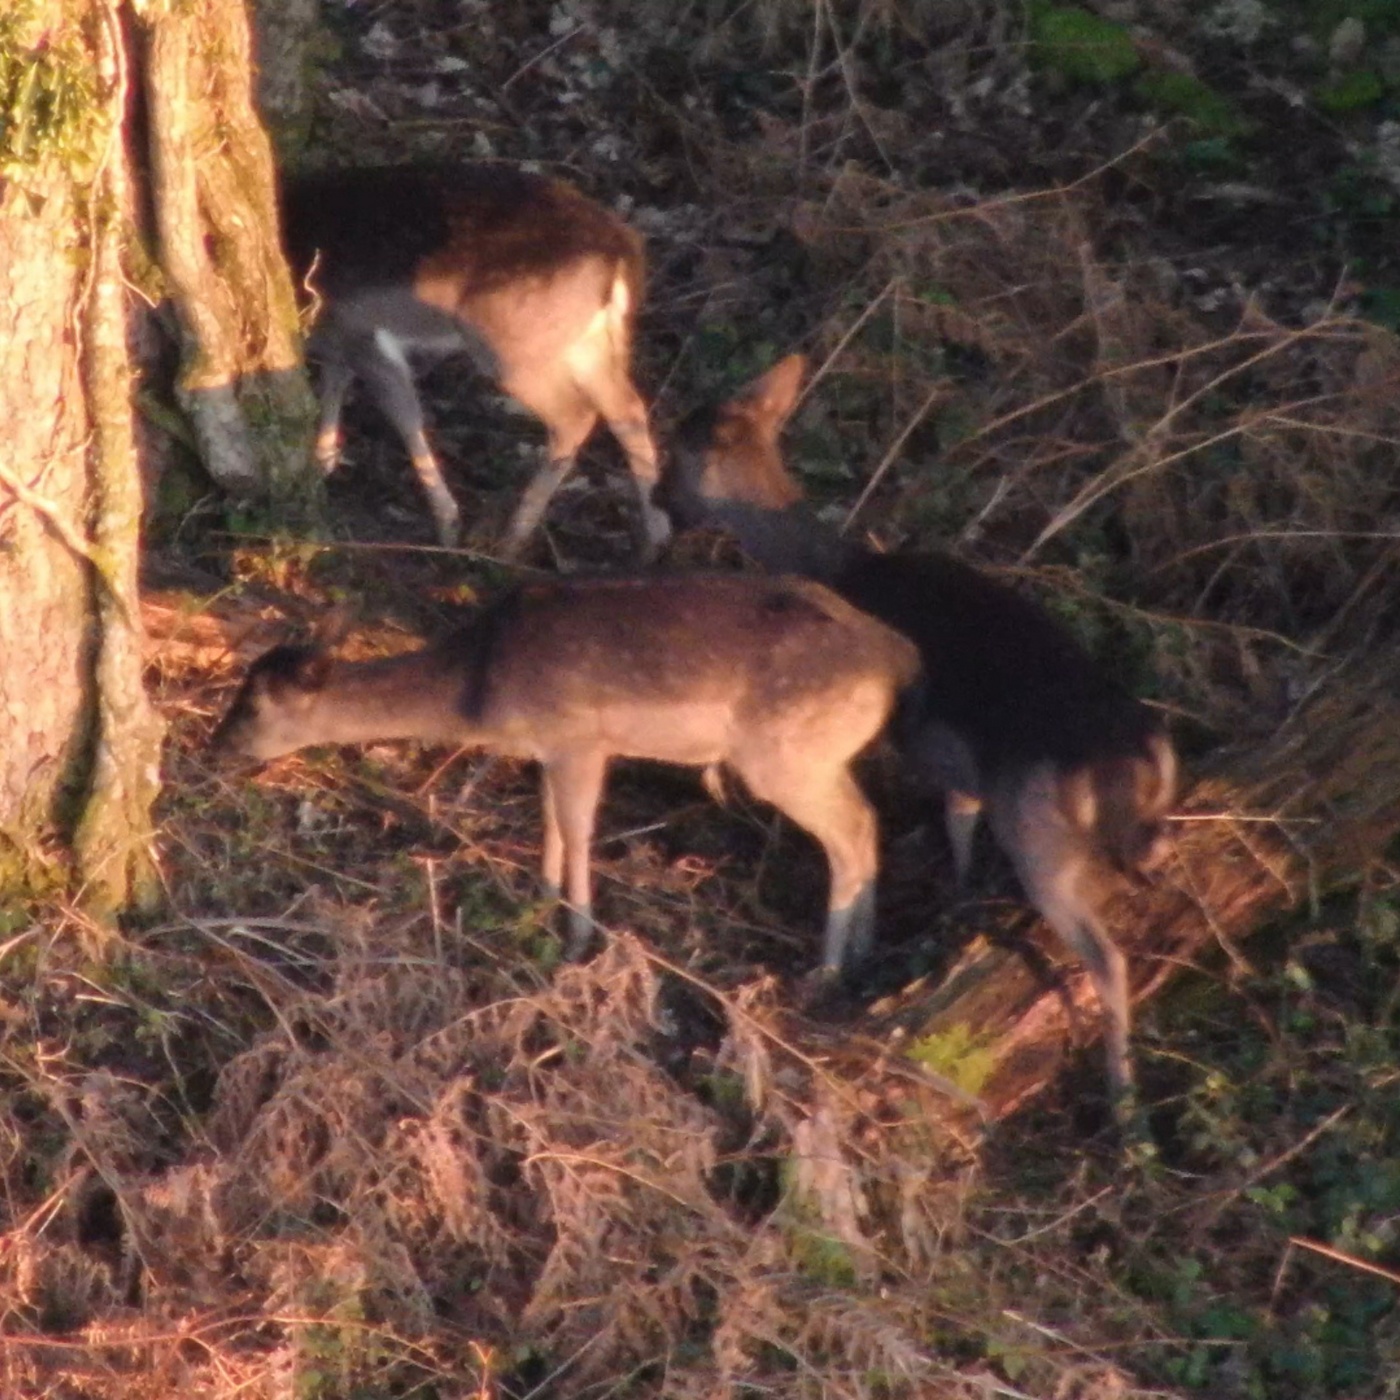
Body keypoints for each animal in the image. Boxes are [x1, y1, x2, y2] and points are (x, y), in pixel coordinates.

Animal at [212, 568, 924, 974]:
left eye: (253, 704)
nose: (218, 744)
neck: (483, 691)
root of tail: (897, 658)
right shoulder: (550, 749)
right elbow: (551, 820)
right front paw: (540, 898)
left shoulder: (580, 738)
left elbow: (578, 829)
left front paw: (579, 936)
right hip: (815, 755)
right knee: (869, 821)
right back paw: (862, 952)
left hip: (784, 754)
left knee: (851, 830)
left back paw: (828, 969)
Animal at [281, 163, 669, 557]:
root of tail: (622, 250)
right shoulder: (338, 339)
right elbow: (333, 387)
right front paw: (321, 463)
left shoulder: (361, 331)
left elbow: (404, 416)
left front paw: (448, 524)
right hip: (586, 341)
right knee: (627, 408)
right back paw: (654, 537)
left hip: (509, 340)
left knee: (576, 415)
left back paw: (513, 537)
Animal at [649, 355, 1176, 1108]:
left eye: (676, 452)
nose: (659, 500)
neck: (840, 566)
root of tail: (1138, 755)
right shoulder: (959, 763)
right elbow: (958, 819)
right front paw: (956, 892)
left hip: (1041, 837)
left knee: (1107, 957)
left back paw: (1121, 1094)